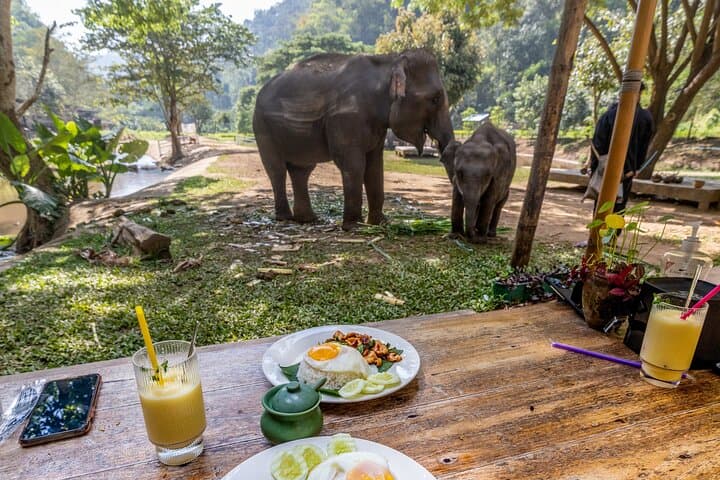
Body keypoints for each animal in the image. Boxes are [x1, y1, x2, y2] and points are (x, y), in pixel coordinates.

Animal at [253, 49, 454, 230]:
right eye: (435, 99)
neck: (389, 60)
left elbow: (375, 166)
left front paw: (380, 224)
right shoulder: (345, 118)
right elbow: (353, 164)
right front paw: (354, 226)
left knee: (301, 170)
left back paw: (308, 219)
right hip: (262, 128)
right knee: (277, 169)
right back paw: (285, 218)